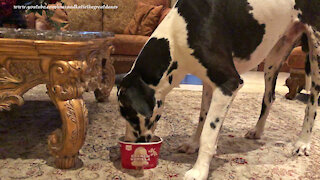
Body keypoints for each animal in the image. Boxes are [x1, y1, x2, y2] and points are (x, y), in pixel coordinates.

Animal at [117, 0, 320, 179]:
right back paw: (257, 131)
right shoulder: (210, 85)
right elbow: (203, 118)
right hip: (274, 56)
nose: (128, 143)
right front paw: (194, 145)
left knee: (312, 104)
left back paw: (303, 142)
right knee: (269, 98)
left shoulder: (229, 83)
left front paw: (199, 170)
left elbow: (208, 132)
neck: (177, 37)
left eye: (131, 116)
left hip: (315, 53)